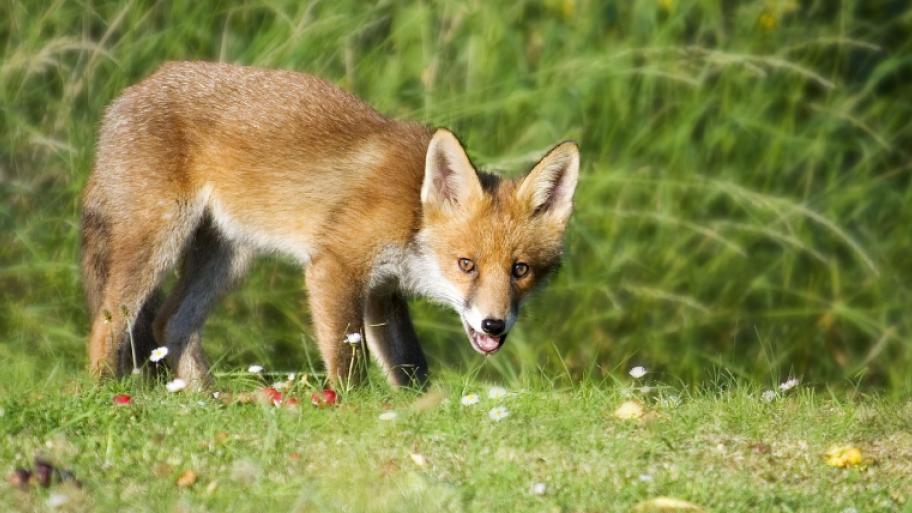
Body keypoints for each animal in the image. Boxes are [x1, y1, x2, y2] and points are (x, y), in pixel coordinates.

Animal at [81, 61, 580, 390]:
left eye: (520, 270)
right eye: (466, 264)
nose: (494, 325)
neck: (411, 212)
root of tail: (126, 95)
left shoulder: (382, 290)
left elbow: (410, 366)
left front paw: (418, 407)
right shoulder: (336, 266)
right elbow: (347, 362)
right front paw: (349, 408)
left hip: (228, 258)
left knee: (170, 323)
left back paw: (210, 400)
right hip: (157, 241)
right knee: (110, 321)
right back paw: (105, 392)